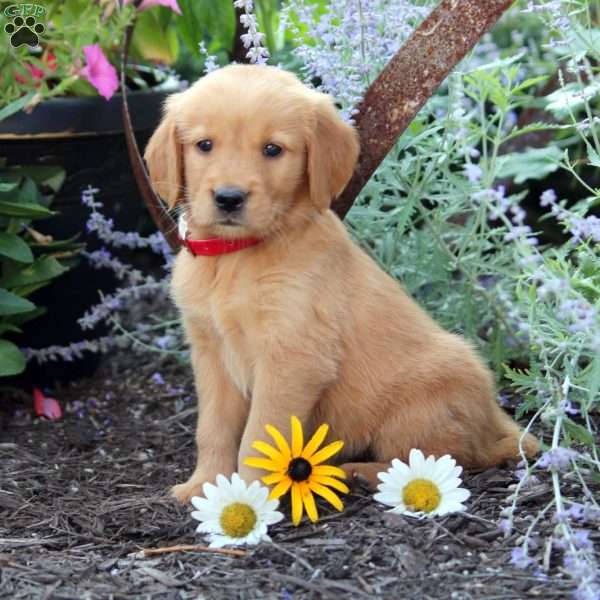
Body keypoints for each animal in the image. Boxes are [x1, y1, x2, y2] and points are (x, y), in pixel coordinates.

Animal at [144, 63, 540, 504]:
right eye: (204, 145)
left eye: (273, 150)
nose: (229, 198)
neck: (235, 257)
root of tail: (496, 417)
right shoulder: (210, 354)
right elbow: (212, 429)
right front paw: (205, 486)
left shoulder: (291, 358)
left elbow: (258, 436)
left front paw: (251, 496)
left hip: (417, 409)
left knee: (444, 459)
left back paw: (363, 473)